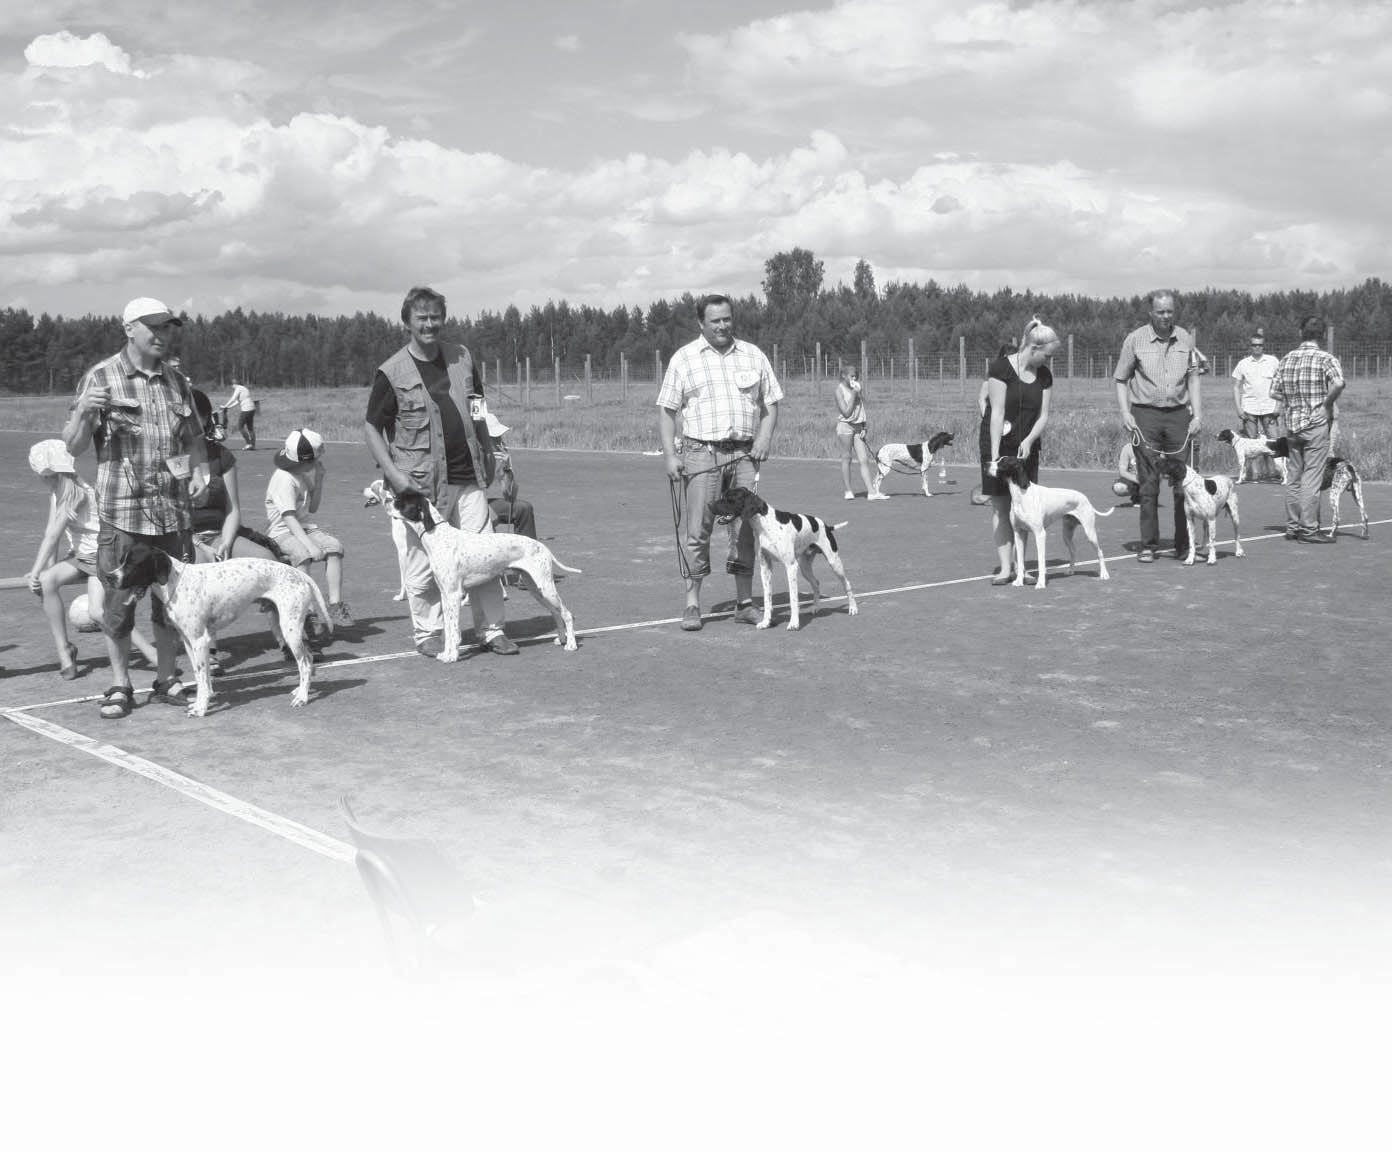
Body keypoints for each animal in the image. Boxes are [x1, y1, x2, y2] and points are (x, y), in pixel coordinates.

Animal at [114, 545, 331, 717]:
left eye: (133, 563)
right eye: (121, 560)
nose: (109, 577)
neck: (176, 582)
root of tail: (300, 574)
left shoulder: (199, 640)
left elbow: (202, 676)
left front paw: (201, 708)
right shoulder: (189, 641)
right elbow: (201, 676)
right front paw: (203, 700)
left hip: (290, 630)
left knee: (304, 663)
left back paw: (302, 698)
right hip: (283, 625)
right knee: (309, 659)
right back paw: (300, 690)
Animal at [384, 486, 579, 665]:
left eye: (400, 502)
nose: (386, 500)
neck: (438, 537)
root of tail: (542, 546)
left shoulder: (454, 595)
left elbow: (453, 630)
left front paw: (452, 656)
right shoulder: (445, 595)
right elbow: (448, 628)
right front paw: (446, 653)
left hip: (545, 588)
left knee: (567, 614)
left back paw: (571, 644)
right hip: (536, 589)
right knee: (556, 613)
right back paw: (561, 639)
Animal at [712, 484, 851, 628]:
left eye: (729, 499)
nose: (709, 505)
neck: (766, 524)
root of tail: (827, 526)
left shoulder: (791, 566)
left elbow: (793, 598)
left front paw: (794, 623)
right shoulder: (765, 568)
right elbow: (767, 599)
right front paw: (766, 622)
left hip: (834, 562)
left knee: (847, 583)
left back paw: (853, 608)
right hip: (805, 568)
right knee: (816, 583)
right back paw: (815, 607)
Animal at [996, 456, 1113, 589]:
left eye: (1002, 463)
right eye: (997, 459)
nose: (987, 464)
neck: (1022, 494)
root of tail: (1085, 499)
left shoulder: (1040, 534)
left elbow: (1041, 561)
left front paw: (1041, 583)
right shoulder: (1018, 533)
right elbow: (1020, 562)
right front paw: (1019, 581)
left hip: (1090, 533)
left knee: (1100, 552)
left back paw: (1104, 574)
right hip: (1066, 534)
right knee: (1073, 551)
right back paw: (1071, 570)